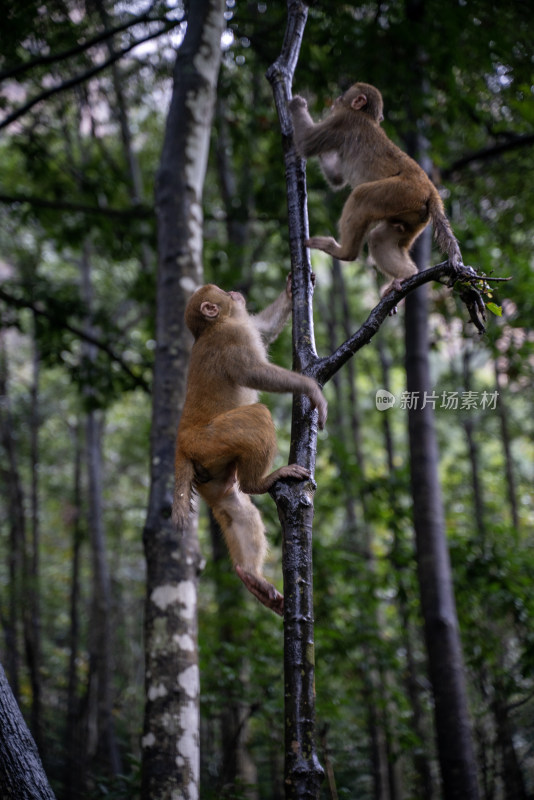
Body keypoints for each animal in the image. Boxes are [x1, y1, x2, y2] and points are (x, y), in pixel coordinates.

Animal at [174, 278, 328, 616]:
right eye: (218, 291)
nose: (233, 292)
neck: (218, 324)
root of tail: (181, 445)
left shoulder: (242, 323)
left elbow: (264, 329)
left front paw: (291, 290)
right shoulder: (232, 335)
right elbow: (253, 372)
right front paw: (311, 389)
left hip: (210, 468)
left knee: (231, 504)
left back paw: (250, 576)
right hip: (210, 440)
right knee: (257, 416)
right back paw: (260, 482)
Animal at [288, 83, 464, 296]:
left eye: (343, 96)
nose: (336, 100)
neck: (365, 116)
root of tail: (432, 191)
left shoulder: (343, 120)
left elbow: (306, 143)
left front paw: (297, 104)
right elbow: (337, 178)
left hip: (403, 192)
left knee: (361, 196)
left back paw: (344, 253)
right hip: (415, 215)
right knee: (380, 237)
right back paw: (407, 273)